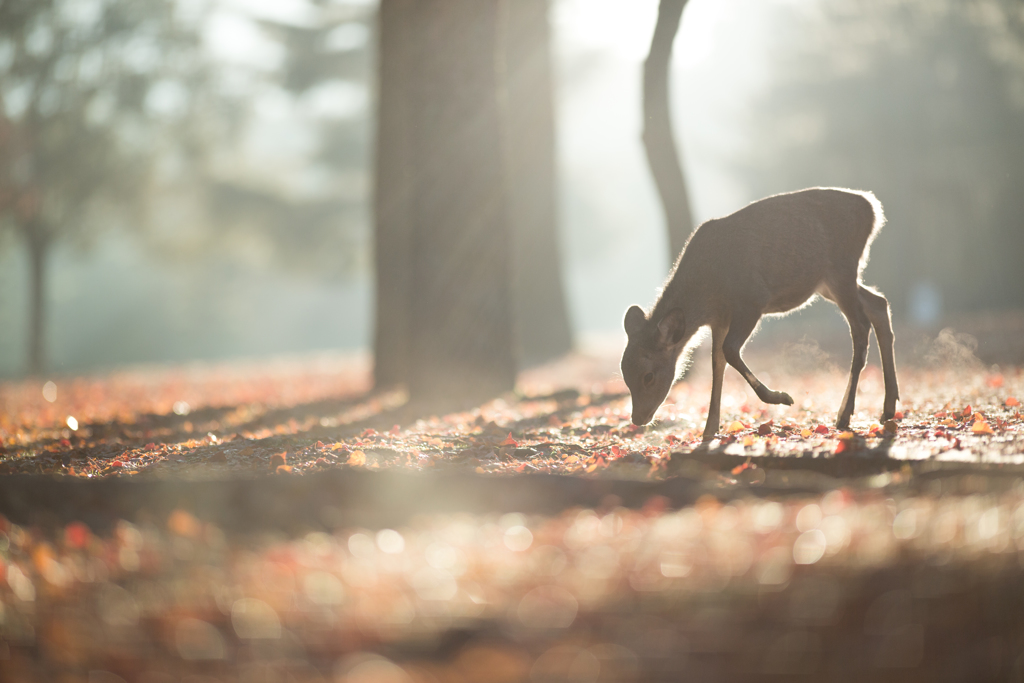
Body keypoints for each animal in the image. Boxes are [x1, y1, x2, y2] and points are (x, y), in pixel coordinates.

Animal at [614, 188, 897, 444]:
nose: (638, 418)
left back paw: (844, 414)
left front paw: (781, 397)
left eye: (648, 376)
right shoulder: (720, 319)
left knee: (861, 327)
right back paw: (888, 408)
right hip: (829, 282)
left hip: (842, 269)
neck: (707, 295)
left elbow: (729, 351)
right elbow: (717, 363)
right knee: (879, 304)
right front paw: (709, 430)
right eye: (624, 373)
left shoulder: (751, 300)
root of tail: (872, 208)